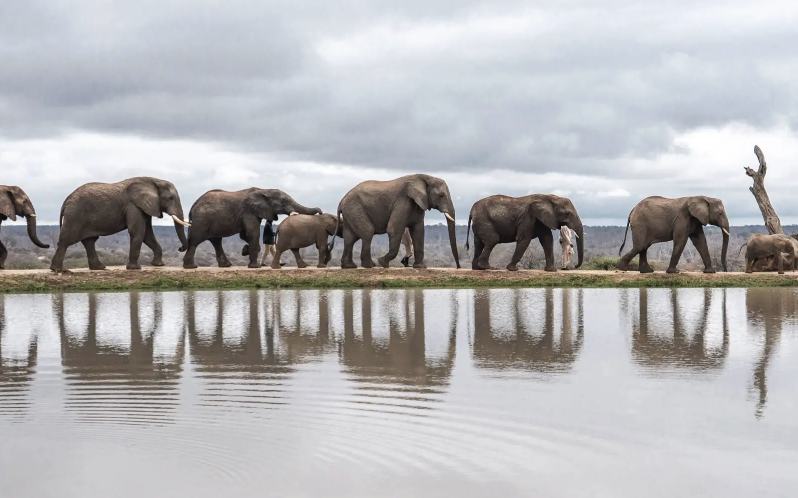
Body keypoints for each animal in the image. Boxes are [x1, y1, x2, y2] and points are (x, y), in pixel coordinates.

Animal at [50, 177, 189, 272]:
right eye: (171, 198)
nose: (180, 248)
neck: (154, 180)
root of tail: (66, 201)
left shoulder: (145, 207)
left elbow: (147, 234)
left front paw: (158, 265)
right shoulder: (133, 205)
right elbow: (138, 231)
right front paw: (135, 268)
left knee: (89, 241)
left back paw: (99, 268)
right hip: (75, 215)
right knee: (67, 240)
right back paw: (58, 270)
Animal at [182, 188, 322, 269]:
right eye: (283, 202)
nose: (320, 212)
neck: (265, 190)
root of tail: (193, 206)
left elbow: (245, 235)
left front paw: (245, 251)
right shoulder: (249, 212)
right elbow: (252, 233)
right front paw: (255, 267)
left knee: (216, 241)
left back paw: (226, 265)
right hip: (202, 220)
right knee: (195, 240)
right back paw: (191, 267)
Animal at [329, 174, 460, 269]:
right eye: (441, 195)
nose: (458, 267)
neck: (425, 177)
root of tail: (341, 201)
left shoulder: (417, 204)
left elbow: (418, 232)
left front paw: (420, 267)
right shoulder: (403, 201)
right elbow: (393, 229)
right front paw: (383, 263)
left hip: (351, 212)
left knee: (349, 238)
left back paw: (349, 266)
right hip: (355, 209)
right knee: (367, 232)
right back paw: (370, 266)